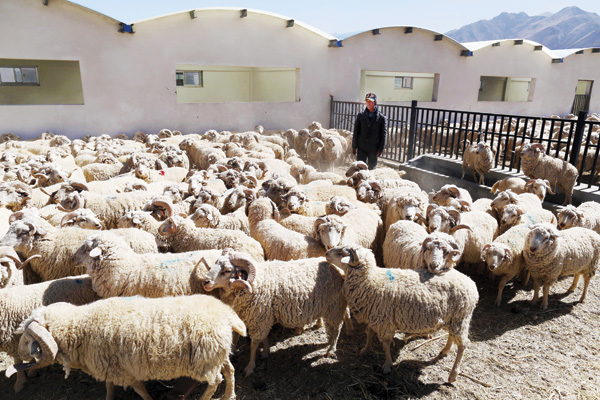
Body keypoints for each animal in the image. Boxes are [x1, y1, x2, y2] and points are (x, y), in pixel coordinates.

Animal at [9, 294, 245, 400]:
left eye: (28, 338)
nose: (18, 352)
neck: (81, 326)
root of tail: (226, 314)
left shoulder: (123, 372)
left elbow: (140, 390)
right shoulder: (112, 368)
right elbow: (109, 387)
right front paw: (109, 398)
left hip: (205, 362)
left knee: (215, 380)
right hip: (218, 354)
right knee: (230, 370)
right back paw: (229, 395)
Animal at [204, 248, 346, 376]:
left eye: (227, 270)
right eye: (215, 263)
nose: (205, 281)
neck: (257, 282)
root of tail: (337, 268)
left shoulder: (259, 318)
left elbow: (254, 345)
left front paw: (250, 367)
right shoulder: (264, 316)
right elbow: (264, 338)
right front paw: (265, 352)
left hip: (336, 307)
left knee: (338, 328)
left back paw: (331, 349)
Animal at [326, 244, 476, 382]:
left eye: (341, 253)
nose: (326, 253)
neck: (370, 280)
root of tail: (471, 282)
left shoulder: (384, 322)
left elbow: (386, 345)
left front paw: (387, 365)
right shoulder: (374, 316)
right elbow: (369, 334)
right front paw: (365, 350)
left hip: (461, 318)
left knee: (462, 345)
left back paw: (453, 374)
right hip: (453, 319)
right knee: (451, 336)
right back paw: (444, 351)